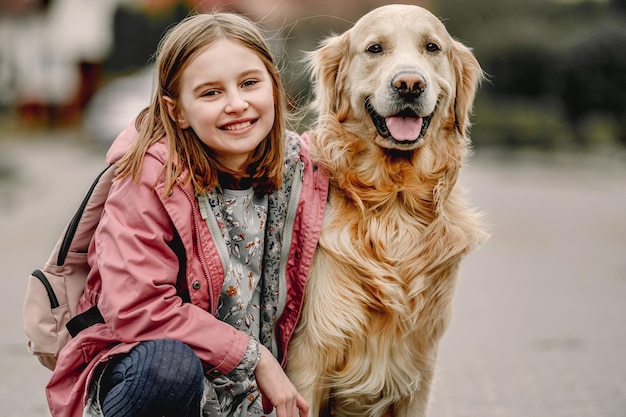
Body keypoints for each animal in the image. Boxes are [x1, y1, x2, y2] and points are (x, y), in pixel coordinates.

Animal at [286, 4, 486, 416]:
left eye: (432, 47)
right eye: (375, 48)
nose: (409, 84)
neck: (395, 199)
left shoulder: (419, 371)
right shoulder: (309, 360)